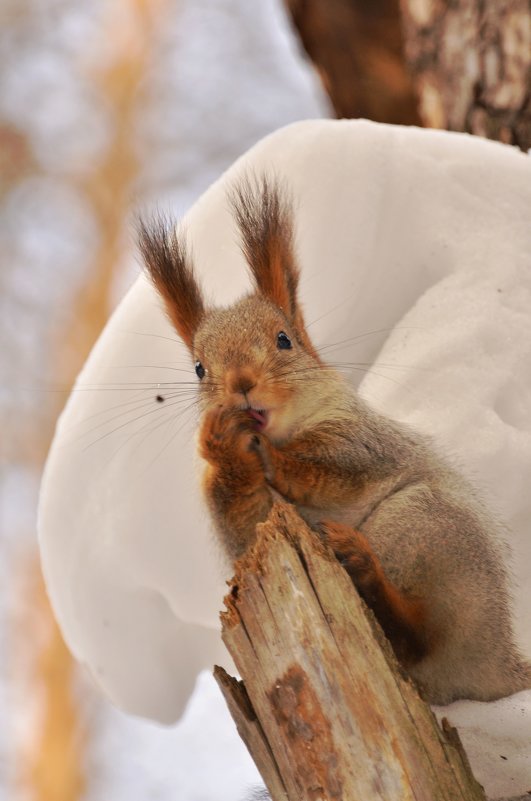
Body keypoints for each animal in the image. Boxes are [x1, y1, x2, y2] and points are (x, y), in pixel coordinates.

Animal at [138, 178, 531, 704]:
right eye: (200, 369)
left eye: (284, 340)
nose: (241, 383)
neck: (284, 432)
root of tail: (497, 662)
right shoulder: (247, 527)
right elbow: (243, 520)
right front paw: (223, 446)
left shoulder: (360, 442)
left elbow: (331, 471)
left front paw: (279, 462)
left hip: (426, 525)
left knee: (423, 636)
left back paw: (365, 569)